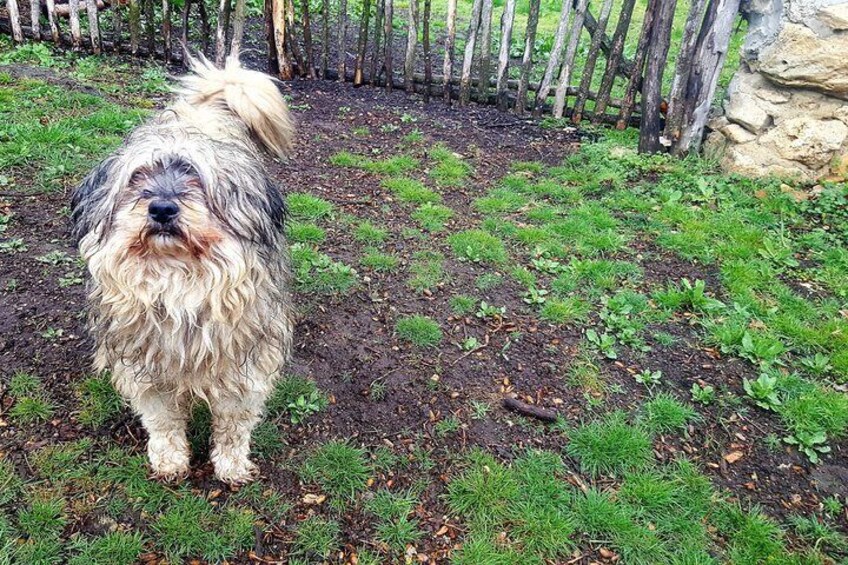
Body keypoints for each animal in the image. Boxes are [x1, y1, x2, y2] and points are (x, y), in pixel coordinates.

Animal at [70, 54, 294, 484]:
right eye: (138, 176)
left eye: (195, 177)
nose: (161, 208)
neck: (177, 280)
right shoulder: (146, 369)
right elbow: (162, 421)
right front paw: (170, 459)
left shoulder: (245, 368)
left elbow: (234, 424)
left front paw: (231, 464)